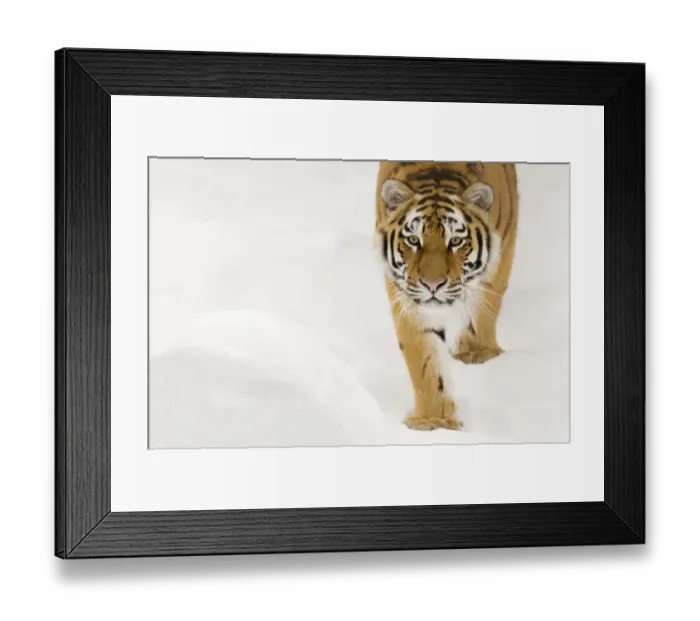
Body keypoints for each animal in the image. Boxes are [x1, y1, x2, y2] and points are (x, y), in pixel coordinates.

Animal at [374, 161, 519, 431]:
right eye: (413, 240)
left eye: (456, 241)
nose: (433, 285)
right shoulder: (407, 298)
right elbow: (425, 360)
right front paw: (433, 420)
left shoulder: (502, 251)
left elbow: (484, 306)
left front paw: (476, 352)